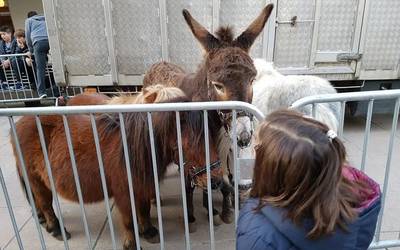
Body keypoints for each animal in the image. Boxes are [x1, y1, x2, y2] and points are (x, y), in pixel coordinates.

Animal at [11, 86, 222, 250]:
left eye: (212, 137)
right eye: (188, 144)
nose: (216, 181)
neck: (134, 148)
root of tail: (19, 123)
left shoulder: (141, 187)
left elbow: (144, 210)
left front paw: (148, 231)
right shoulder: (124, 193)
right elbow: (129, 220)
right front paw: (132, 244)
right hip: (37, 181)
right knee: (45, 204)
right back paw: (56, 229)